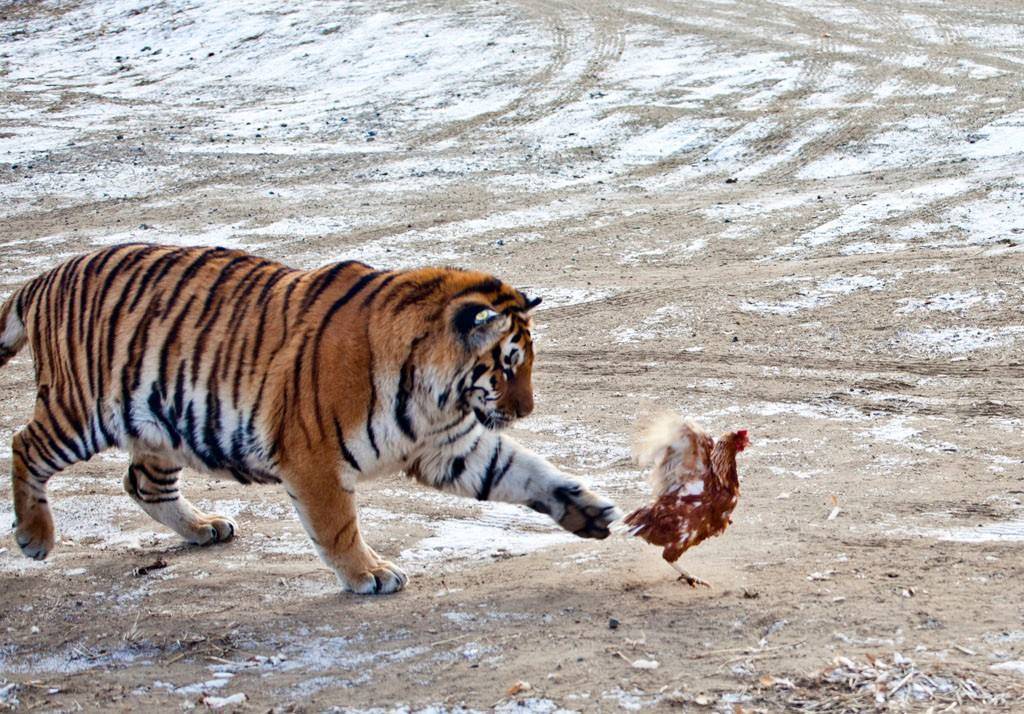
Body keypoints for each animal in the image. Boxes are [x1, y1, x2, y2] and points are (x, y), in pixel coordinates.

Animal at [0, 243, 620, 594]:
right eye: (509, 364)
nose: (526, 409)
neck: (435, 395)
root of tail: (39, 279)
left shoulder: (451, 447)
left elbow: (525, 471)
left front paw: (587, 510)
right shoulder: (313, 458)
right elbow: (339, 525)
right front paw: (370, 575)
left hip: (159, 421)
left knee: (142, 483)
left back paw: (203, 528)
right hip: (82, 409)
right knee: (24, 442)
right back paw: (35, 538)